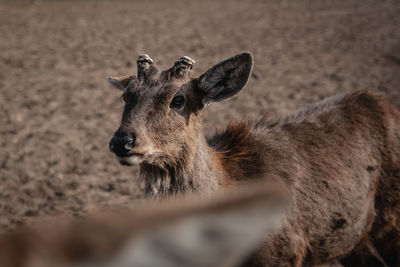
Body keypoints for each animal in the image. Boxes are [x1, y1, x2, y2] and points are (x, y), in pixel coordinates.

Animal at [106, 51, 400, 266]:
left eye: (178, 99)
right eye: (126, 95)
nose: (122, 142)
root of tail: (387, 104)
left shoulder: (284, 254)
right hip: (355, 238)